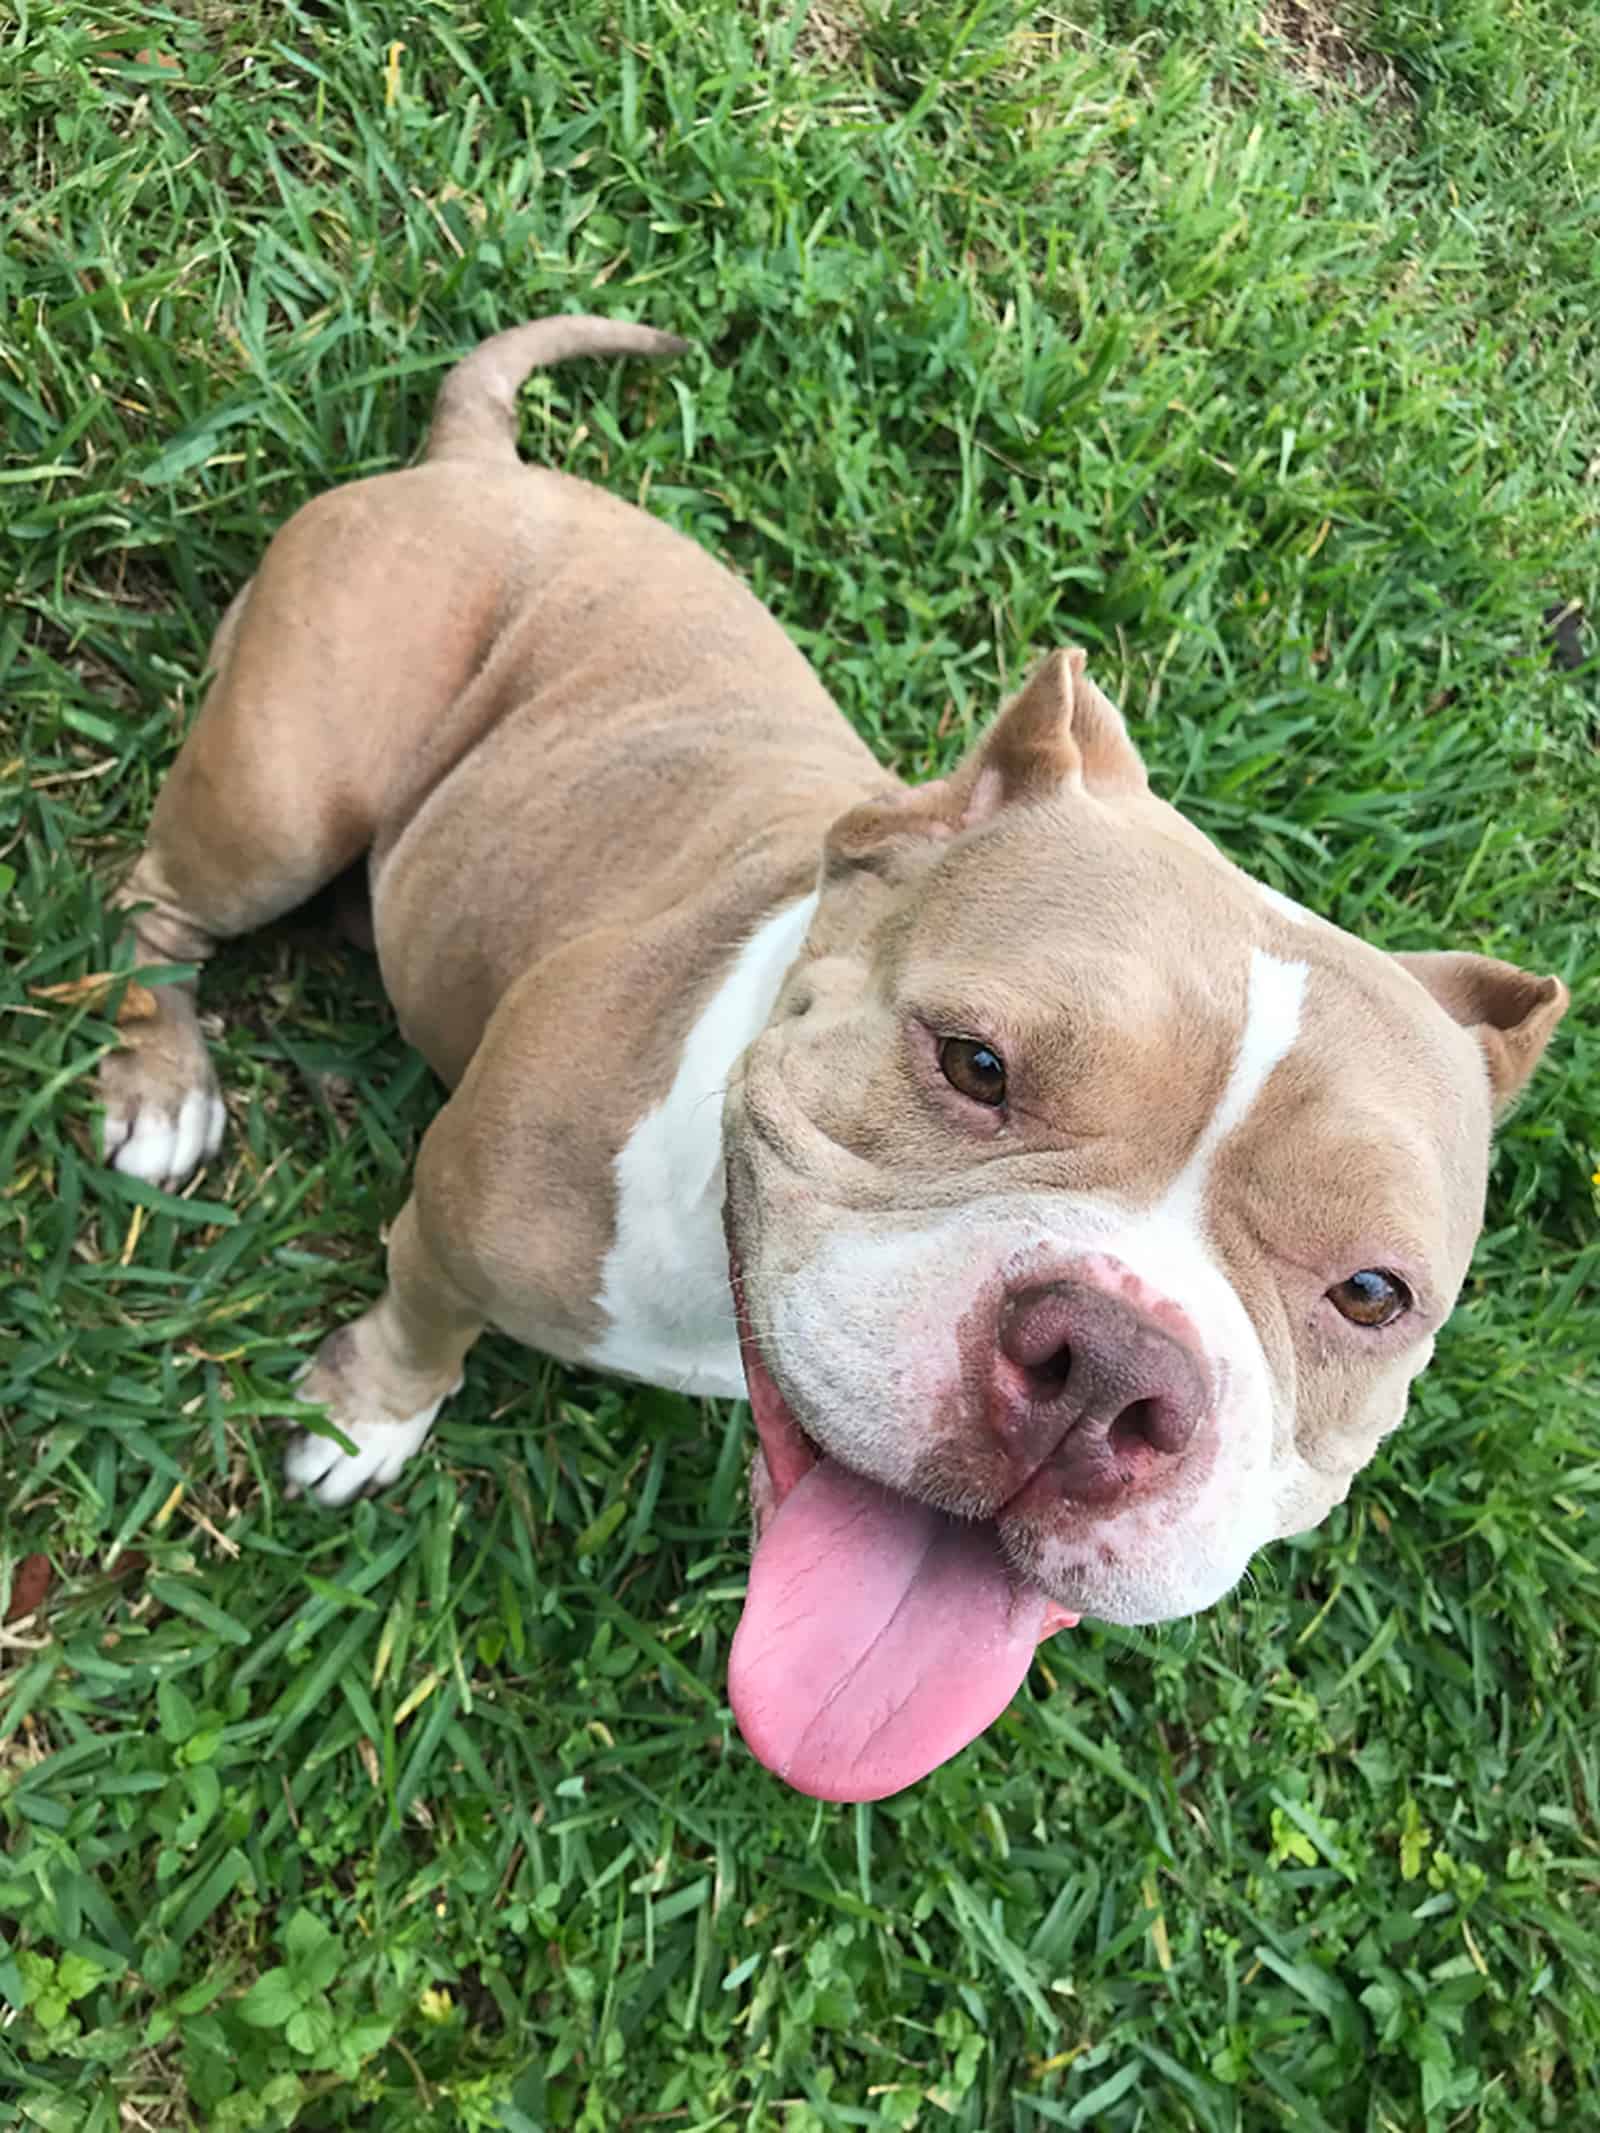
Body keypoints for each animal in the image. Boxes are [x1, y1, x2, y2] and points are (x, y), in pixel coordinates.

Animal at [93, 319, 1570, 1800]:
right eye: (973, 1064)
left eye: (1371, 1293)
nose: (1108, 1370)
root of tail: (475, 466)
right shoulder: (452, 1227)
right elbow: (421, 1324)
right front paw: (368, 1422)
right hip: (282, 792)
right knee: (154, 901)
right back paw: (162, 1081)